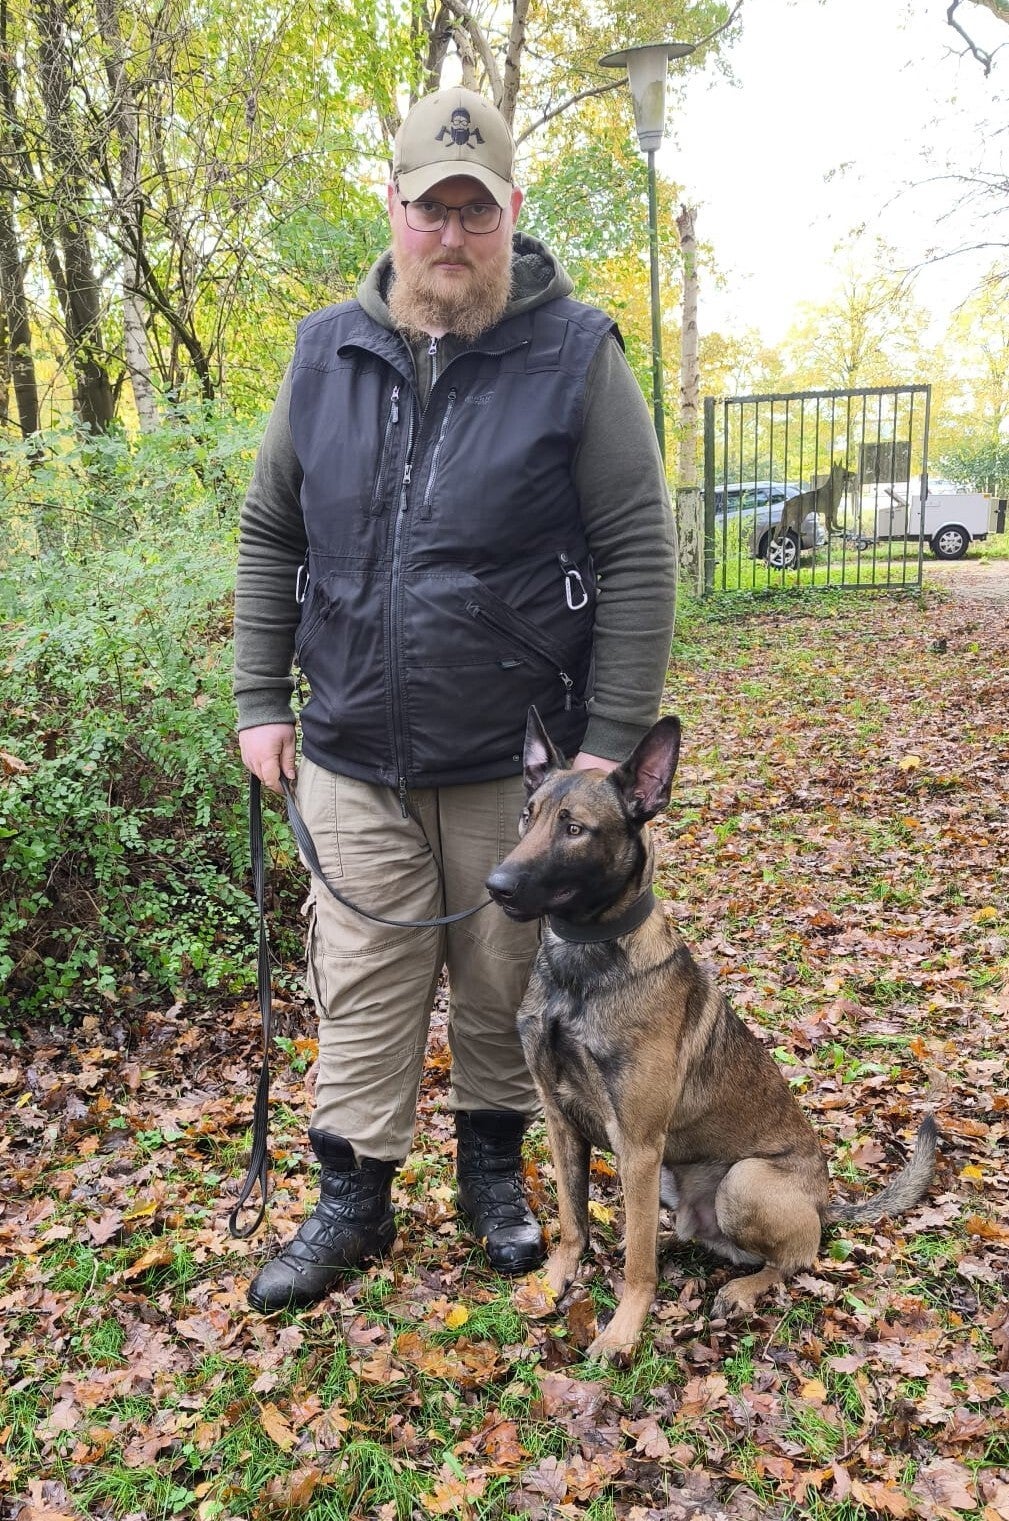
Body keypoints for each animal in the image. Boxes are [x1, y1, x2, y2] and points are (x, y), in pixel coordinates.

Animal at [486, 709, 937, 1360]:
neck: (582, 969)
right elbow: (573, 1222)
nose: (495, 885)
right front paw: (553, 1283)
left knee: (795, 1259)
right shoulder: (560, 1119)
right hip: (673, 1184)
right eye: (529, 816)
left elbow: (636, 1267)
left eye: (574, 829)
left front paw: (623, 1330)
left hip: (741, 1182)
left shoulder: (637, 1143)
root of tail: (826, 1201)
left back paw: (744, 1289)